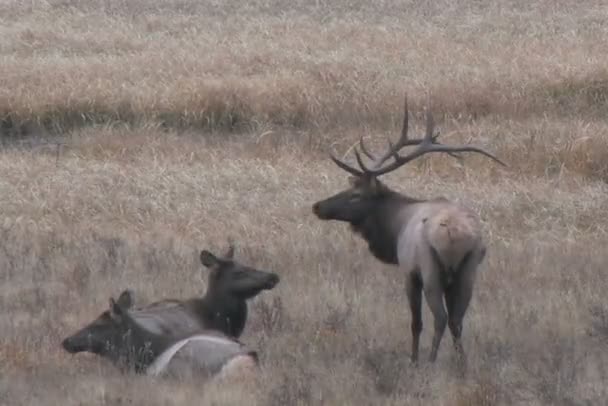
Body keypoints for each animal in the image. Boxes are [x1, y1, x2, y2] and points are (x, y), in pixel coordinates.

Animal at [312, 95, 506, 364]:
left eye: (355, 195)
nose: (317, 206)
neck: (395, 228)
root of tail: (456, 235)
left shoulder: (409, 271)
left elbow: (415, 322)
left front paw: (413, 360)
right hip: (468, 271)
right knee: (456, 320)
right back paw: (462, 364)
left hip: (431, 270)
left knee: (440, 318)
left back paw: (431, 361)